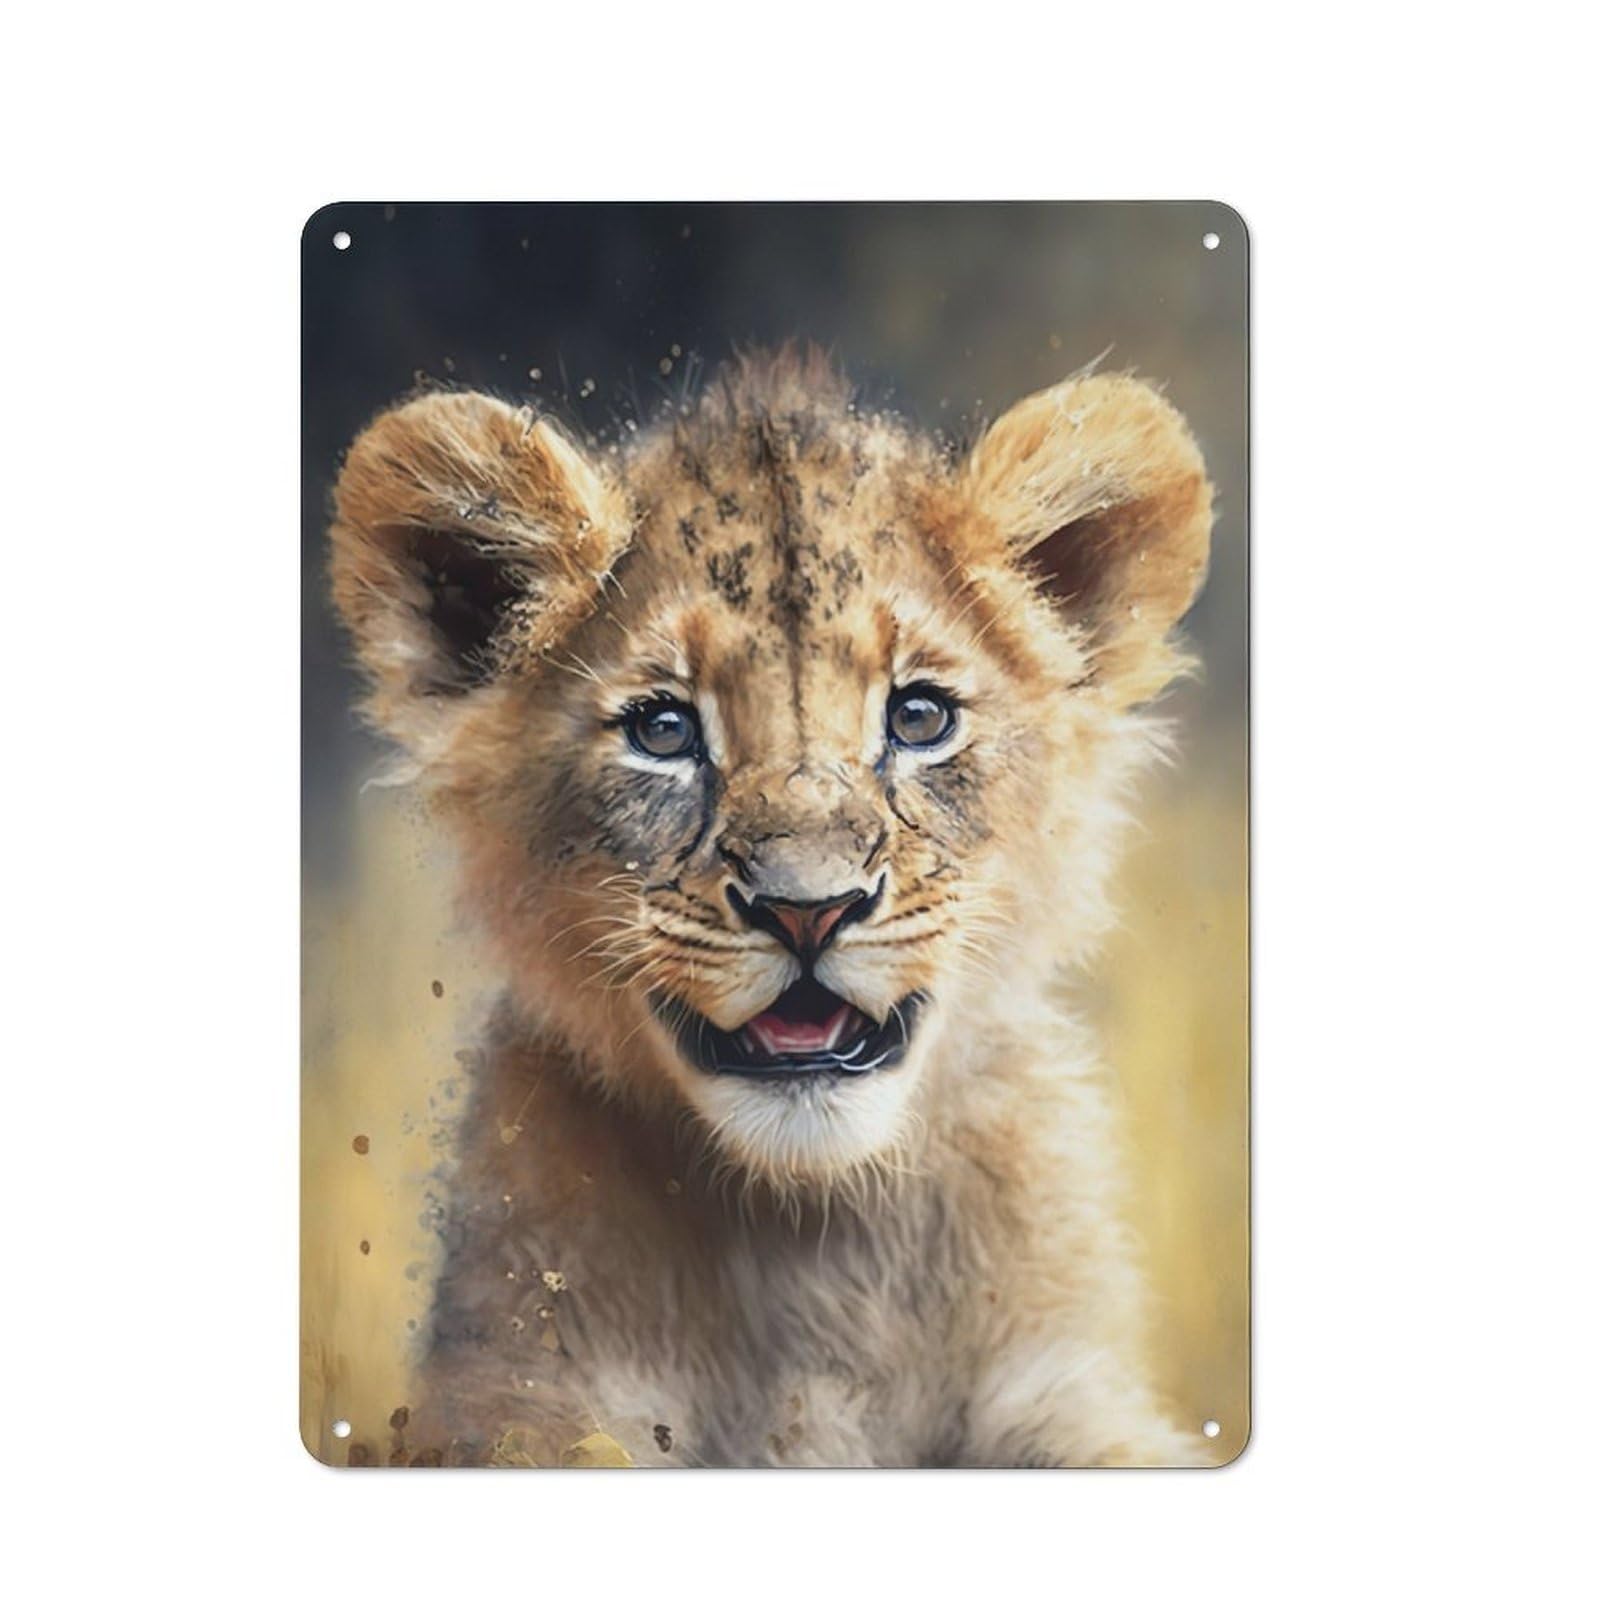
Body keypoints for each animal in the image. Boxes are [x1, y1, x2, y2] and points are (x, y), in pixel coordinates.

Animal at [326, 347, 1214, 1466]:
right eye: (662, 729)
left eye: (919, 717)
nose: (808, 910)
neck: (810, 1233)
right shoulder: (524, 1400)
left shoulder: (1063, 1392)